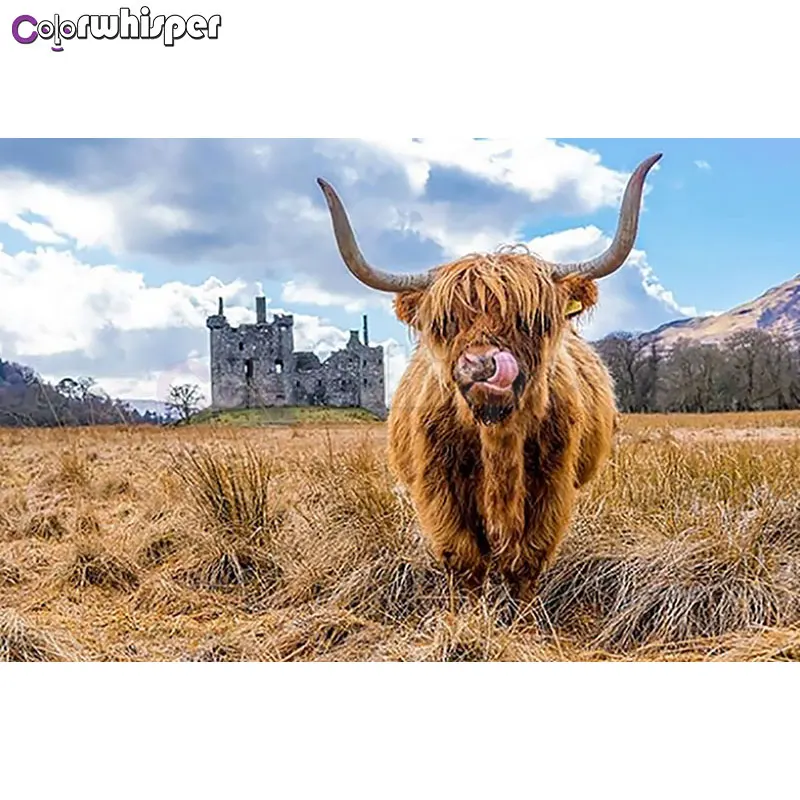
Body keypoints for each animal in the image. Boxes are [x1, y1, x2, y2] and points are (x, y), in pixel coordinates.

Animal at [316, 153, 661, 601]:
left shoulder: (552, 487)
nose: (482, 365)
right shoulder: (438, 489)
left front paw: (523, 614)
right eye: (445, 323)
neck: (498, 440)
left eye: (532, 319)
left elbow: (526, 561)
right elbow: (464, 560)